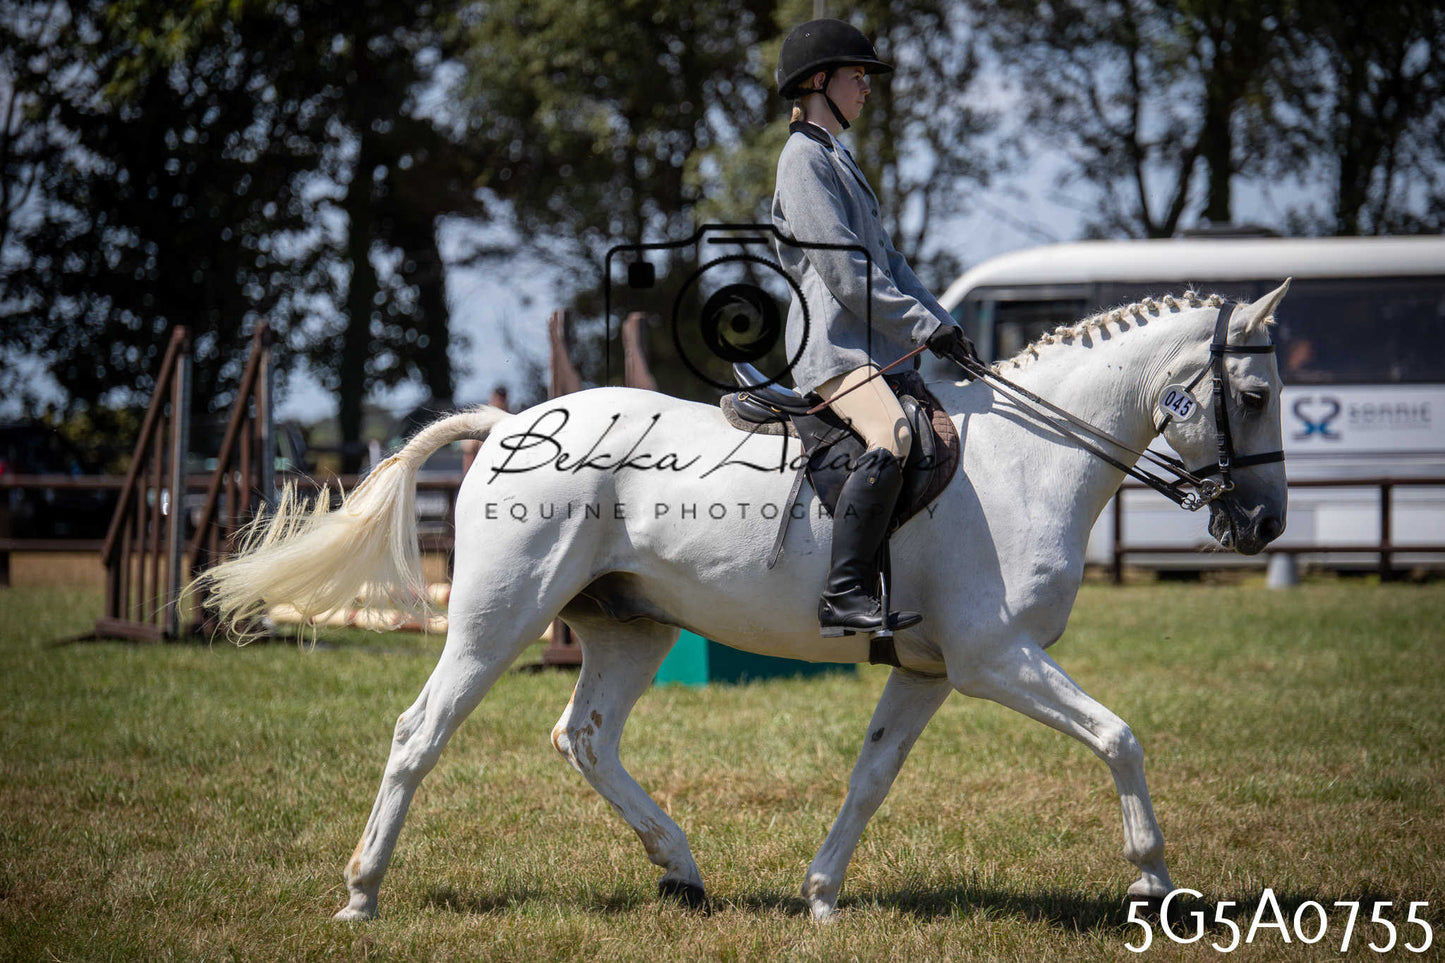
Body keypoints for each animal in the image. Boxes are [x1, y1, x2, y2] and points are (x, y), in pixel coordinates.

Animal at [199, 282, 1290, 922]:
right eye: (1254, 397)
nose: (1262, 525)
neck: (1033, 458)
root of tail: (513, 421)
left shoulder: (932, 670)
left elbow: (870, 776)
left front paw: (820, 895)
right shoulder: (995, 658)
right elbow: (1117, 737)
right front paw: (1153, 880)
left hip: (630, 625)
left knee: (584, 736)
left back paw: (680, 869)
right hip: (497, 617)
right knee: (421, 730)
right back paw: (361, 894)